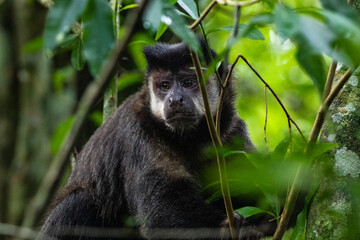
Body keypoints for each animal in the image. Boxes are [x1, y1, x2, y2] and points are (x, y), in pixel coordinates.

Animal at [38, 39, 262, 240]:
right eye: (165, 85)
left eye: (189, 82)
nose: (174, 100)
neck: (193, 140)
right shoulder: (140, 132)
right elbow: (162, 214)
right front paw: (227, 227)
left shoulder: (233, 133)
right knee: (80, 200)